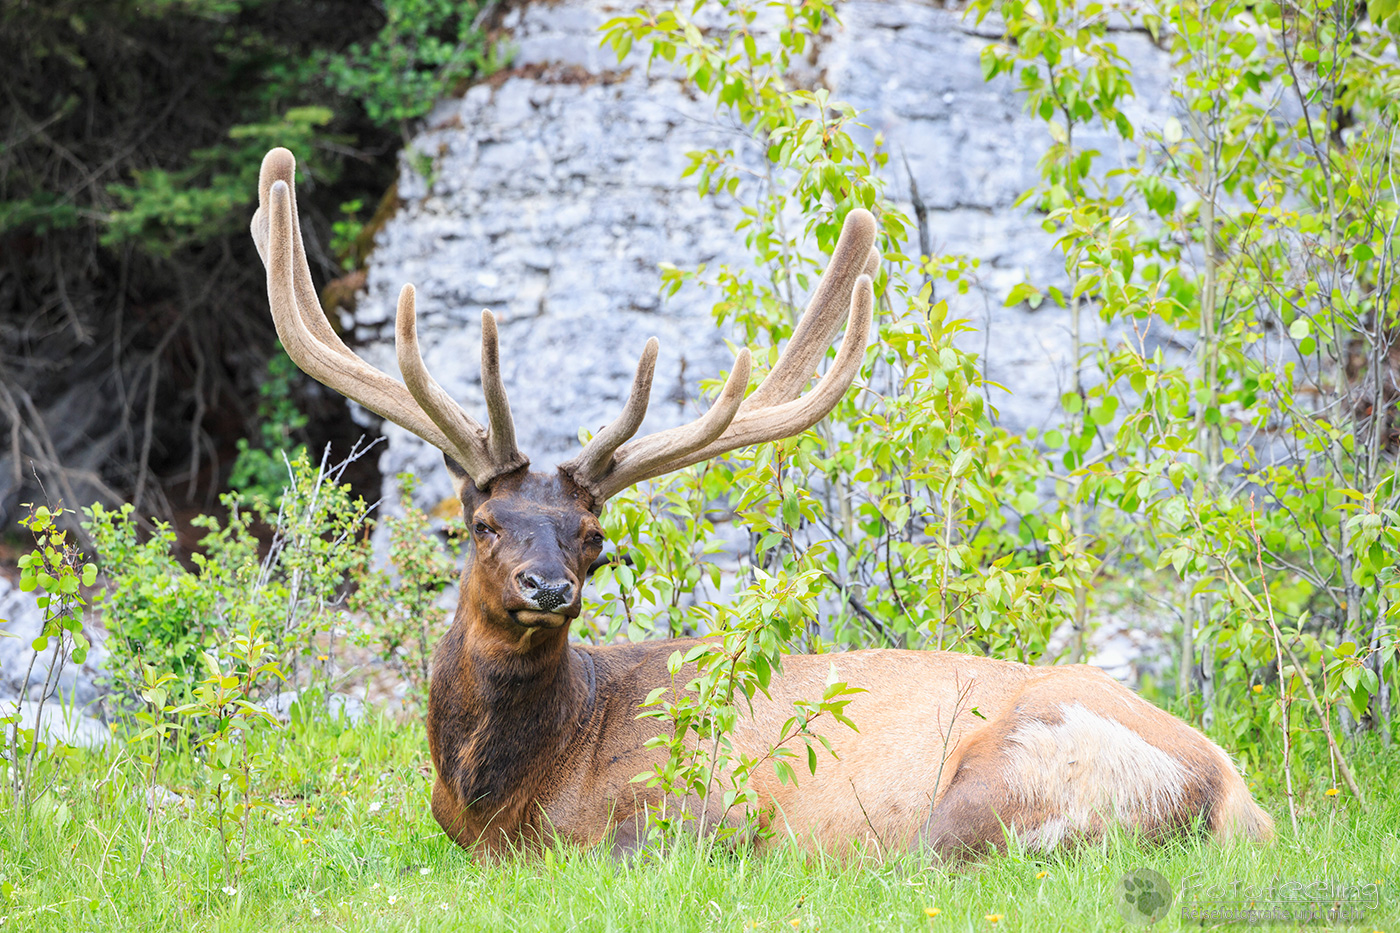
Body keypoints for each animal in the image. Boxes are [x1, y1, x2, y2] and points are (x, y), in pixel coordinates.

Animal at [250, 147, 1274, 861]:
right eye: (483, 524)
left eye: (594, 536)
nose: (547, 587)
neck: (504, 793)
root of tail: (1237, 797)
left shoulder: (702, 811)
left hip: (1005, 772)